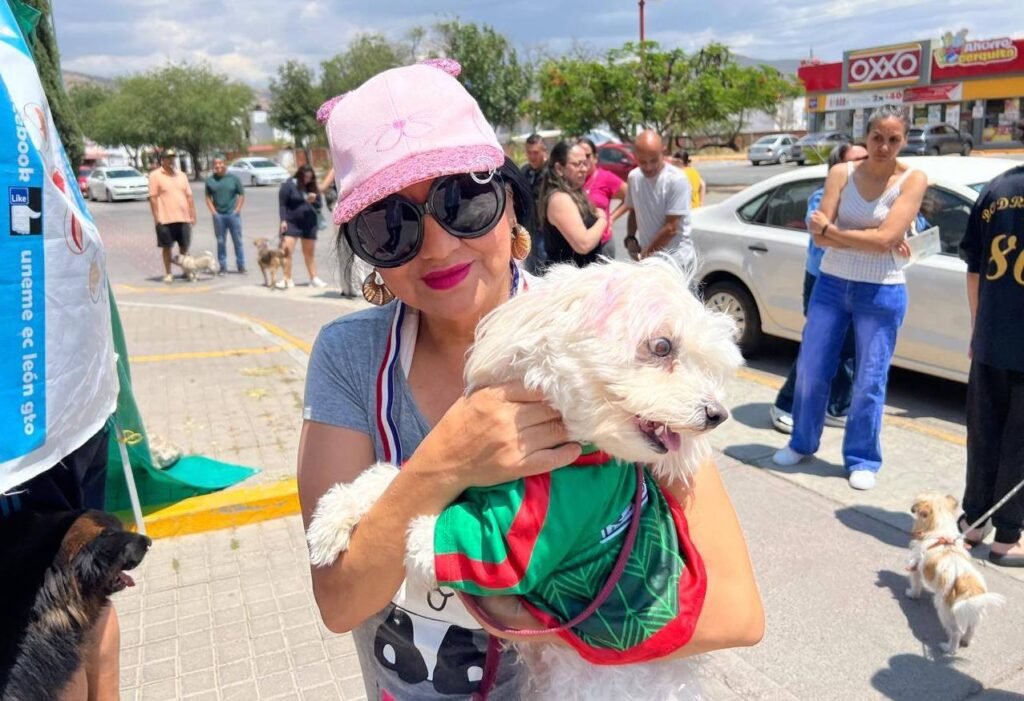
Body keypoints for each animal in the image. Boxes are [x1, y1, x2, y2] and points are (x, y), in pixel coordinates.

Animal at [907, 494, 1005, 654]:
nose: (912, 509)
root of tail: (969, 589)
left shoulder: (915, 565)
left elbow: (915, 585)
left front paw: (911, 594)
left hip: (946, 612)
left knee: (955, 633)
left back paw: (948, 648)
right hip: (972, 612)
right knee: (971, 629)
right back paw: (966, 641)